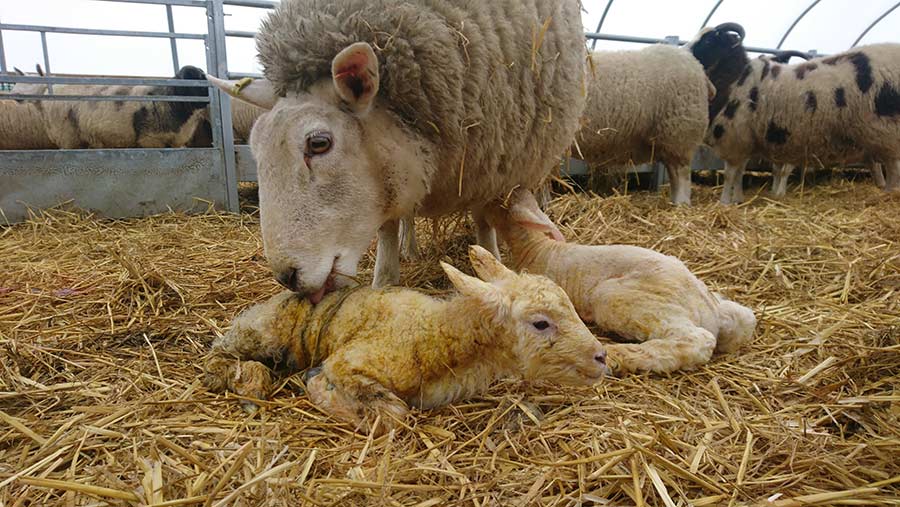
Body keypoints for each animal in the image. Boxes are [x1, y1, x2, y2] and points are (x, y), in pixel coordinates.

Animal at [205, 0, 588, 300]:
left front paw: (491, 258)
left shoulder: (493, 159)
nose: (287, 277)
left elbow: (483, 220)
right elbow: (387, 227)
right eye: (255, 148)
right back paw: (410, 247)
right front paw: (384, 279)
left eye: (319, 143)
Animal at [205, 245, 608, 432]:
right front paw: (318, 386)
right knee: (216, 357)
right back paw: (251, 384)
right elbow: (394, 415)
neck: (433, 331)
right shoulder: (352, 360)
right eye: (540, 324)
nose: (601, 357)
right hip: (259, 333)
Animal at [482, 189, 756, 376]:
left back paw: (617, 356)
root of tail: (709, 307)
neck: (538, 248)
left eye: (500, 203)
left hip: (618, 298)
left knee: (695, 340)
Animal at [688, 23, 900, 202]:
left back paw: (889, 194)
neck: (737, 79)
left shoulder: (734, 136)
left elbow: (730, 174)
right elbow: (739, 173)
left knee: (894, 169)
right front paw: (738, 200)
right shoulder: (745, 140)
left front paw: (724, 203)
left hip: (887, 132)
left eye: (708, 41)